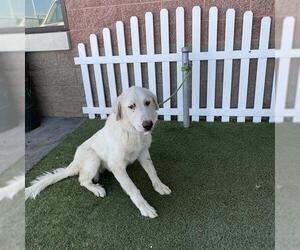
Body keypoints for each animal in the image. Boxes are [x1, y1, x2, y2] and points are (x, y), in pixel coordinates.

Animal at [25, 87, 171, 218]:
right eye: (131, 106)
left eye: (147, 102)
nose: (148, 125)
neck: (132, 132)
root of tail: (74, 163)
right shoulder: (117, 166)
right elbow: (133, 189)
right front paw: (145, 207)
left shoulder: (144, 153)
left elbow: (152, 171)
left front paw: (159, 186)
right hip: (93, 158)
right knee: (82, 180)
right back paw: (96, 188)